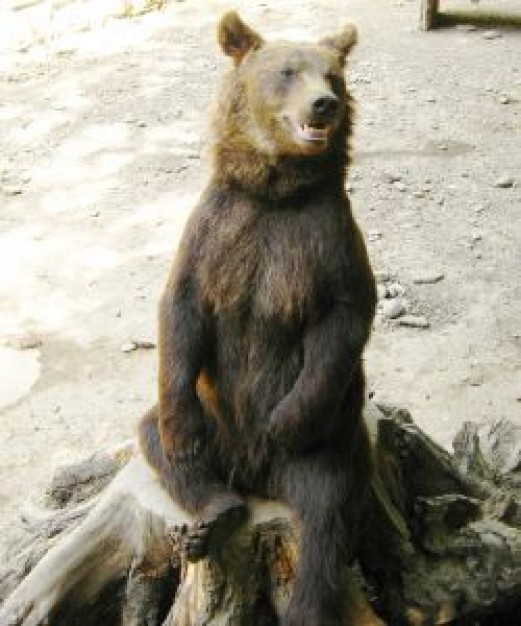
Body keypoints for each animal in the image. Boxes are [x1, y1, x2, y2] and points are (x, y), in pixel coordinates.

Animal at [138, 11, 374, 624]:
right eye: (288, 70)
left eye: (332, 74)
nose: (324, 104)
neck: (276, 194)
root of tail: (255, 475)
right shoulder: (218, 231)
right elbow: (181, 307)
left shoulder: (325, 240)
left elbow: (344, 319)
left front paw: (283, 421)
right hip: (217, 421)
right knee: (155, 435)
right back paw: (214, 516)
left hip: (330, 443)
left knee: (325, 515)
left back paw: (308, 600)